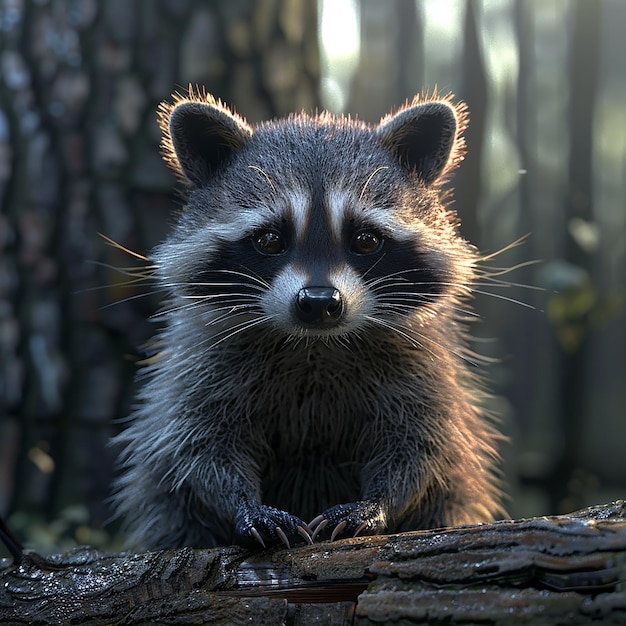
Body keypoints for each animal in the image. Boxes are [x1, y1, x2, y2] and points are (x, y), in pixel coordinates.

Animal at [111, 90, 502, 548]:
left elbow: (421, 443)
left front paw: (377, 502)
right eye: (269, 239)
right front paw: (244, 504)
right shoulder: (203, 359)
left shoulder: (420, 364)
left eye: (365, 239)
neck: (314, 343)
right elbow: (198, 443)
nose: (318, 302)